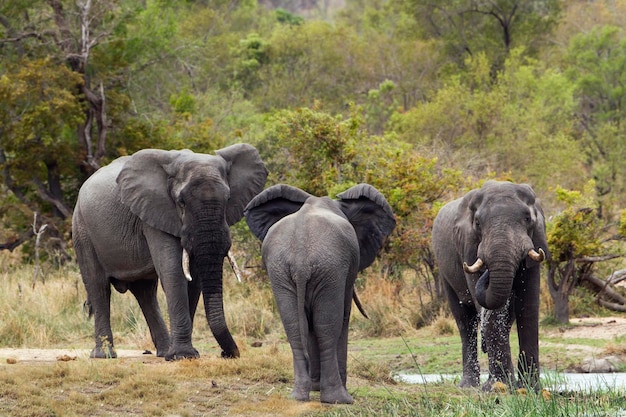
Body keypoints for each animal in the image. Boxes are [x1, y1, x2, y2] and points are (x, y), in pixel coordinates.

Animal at [72, 143, 266, 358]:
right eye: (181, 202)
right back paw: (104, 355)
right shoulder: (154, 212)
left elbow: (194, 280)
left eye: (228, 198)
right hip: (82, 229)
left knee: (145, 292)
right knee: (98, 286)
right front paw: (183, 355)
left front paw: (180, 355)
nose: (227, 354)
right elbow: (173, 271)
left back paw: (164, 352)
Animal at [244, 183, 394, 404]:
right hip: (329, 268)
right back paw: (339, 398)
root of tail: (300, 255)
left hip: (281, 271)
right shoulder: (345, 268)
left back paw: (298, 396)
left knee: (295, 327)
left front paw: (315, 387)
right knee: (327, 326)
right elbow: (343, 317)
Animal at [428, 180, 544, 390]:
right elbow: (491, 311)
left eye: (527, 218)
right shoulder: (467, 246)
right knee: (464, 321)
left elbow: (528, 307)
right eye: (477, 223)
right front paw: (499, 387)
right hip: (444, 272)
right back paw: (468, 386)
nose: (488, 273)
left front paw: (530, 388)